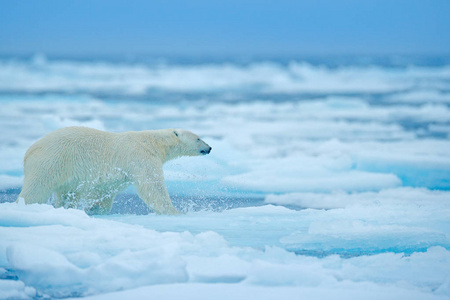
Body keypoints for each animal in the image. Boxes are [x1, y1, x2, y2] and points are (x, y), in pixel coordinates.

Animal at [17, 127, 211, 214]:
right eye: (198, 138)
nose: (209, 148)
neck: (153, 142)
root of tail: (29, 151)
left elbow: (104, 191)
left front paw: (95, 209)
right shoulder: (141, 157)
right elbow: (153, 186)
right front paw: (175, 211)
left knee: (66, 193)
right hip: (52, 160)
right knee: (36, 188)